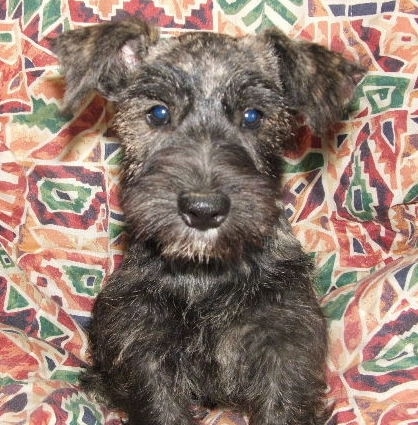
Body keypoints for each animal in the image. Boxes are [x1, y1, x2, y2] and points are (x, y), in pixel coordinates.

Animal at [54, 17, 364, 424]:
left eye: (253, 116)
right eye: (158, 113)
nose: (203, 209)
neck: (205, 273)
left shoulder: (286, 337)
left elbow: (284, 404)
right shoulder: (141, 341)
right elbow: (162, 407)